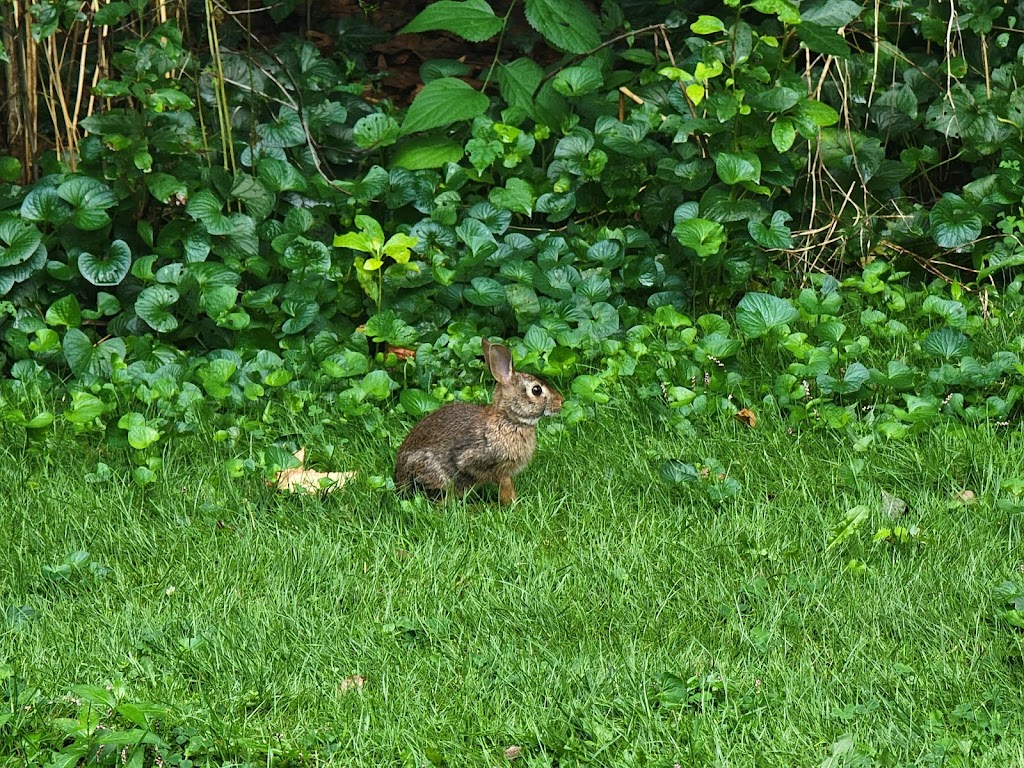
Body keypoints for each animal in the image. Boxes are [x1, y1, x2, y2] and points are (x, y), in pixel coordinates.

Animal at [393, 337, 569, 505]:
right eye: (536, 390)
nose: (561, 401)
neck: (509, 420)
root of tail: (398, 479)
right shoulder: (479, 461)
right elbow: (503, 484)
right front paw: (512, 504)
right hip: (436, 475)